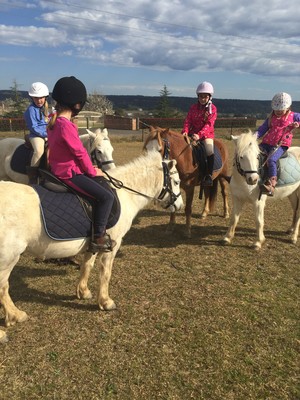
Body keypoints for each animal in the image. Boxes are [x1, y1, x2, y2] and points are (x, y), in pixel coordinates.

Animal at [0, 148, 183, 342]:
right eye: (176, 182)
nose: (179, 205)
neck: (125, 195)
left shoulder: (94, 242)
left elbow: (87, 265)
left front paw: (83, 291)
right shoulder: (113, 245)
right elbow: (105, 273)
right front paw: (105, 301)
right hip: (8, 257)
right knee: (3, 286)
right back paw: (10, 321)